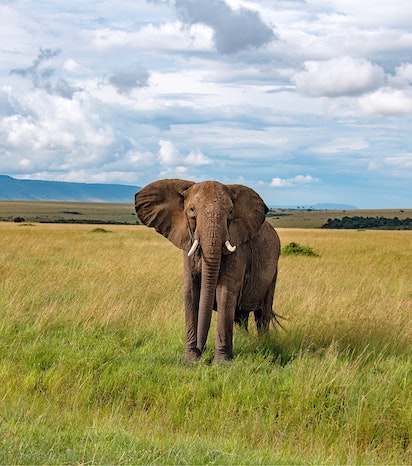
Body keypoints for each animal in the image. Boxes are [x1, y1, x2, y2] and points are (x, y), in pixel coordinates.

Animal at [135, 177, 280, 362]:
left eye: (230, 212)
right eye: (191, 210)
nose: (201, 352)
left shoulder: (238, 249)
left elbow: (225, 293)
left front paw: (221, 362)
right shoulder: (187, 246)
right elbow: (191, 293)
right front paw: (191, 359)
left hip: (273, 272)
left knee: (262, 314)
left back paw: (262, 344)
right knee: (241, 316)